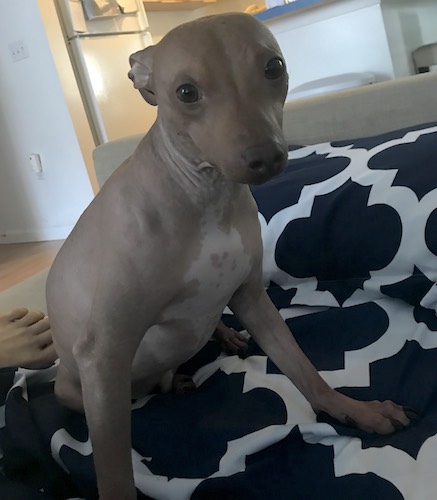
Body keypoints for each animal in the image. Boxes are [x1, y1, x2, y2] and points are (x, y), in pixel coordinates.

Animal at [46, 12, 410, 500]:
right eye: (185, 93)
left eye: (274, 67)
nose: (266, 158)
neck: (205, 195)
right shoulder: (104, 352)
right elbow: (115, 470)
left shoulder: (253, 298)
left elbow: (304, 371)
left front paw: (353, 410)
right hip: (80, 387)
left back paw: (217, 341)